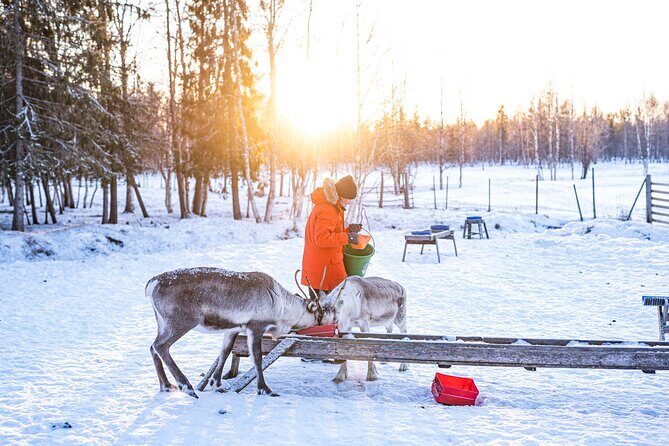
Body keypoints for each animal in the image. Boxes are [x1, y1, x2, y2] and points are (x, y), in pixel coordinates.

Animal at [146, 267, 325, 398]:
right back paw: (187, 386)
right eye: (319, 314)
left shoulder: (233, 329)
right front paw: (265, 389)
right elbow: (257, 358)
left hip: (162, 323)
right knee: (161, 346)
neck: (281, 304)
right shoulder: (256, 327)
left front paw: (217, 384)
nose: (322, 324)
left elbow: (225, 352)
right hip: (181, 322)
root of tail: (153, 282)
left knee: (152, 347)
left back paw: (166, 385)